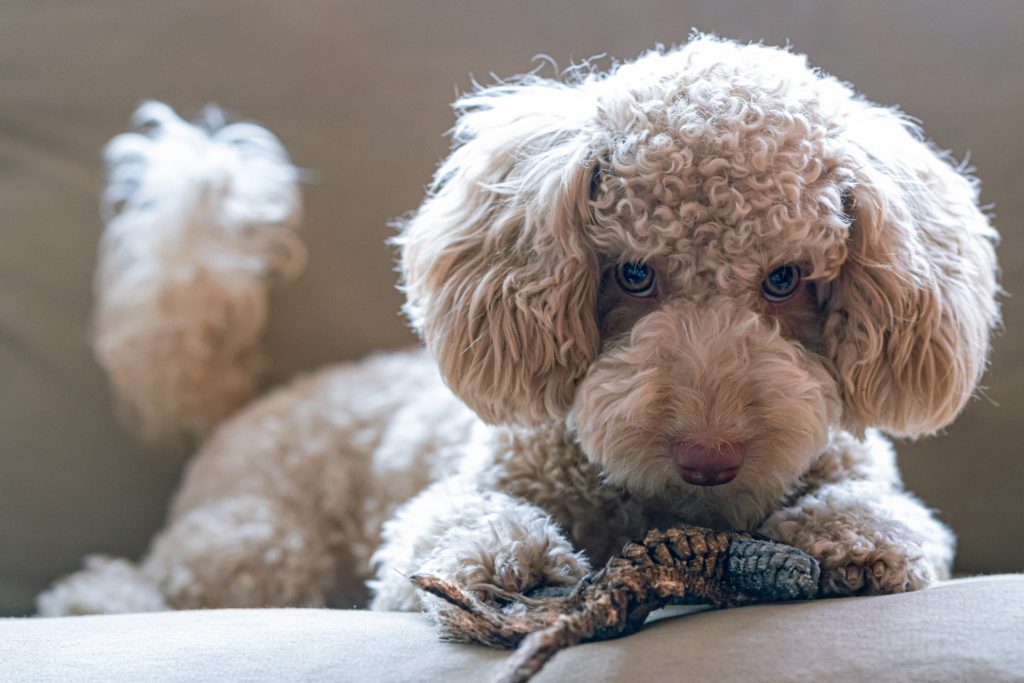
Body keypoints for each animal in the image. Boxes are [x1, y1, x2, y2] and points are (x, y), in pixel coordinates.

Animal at [37, 34, 999, 618]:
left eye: (787, 279)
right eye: (634, 273)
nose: (709, 457)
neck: (658, 507)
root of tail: (247, 400)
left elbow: (890, 518)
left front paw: (853, 535)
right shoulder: (446, 506)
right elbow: (453, 526)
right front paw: (504, 557)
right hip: (256, 541)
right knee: (151, 581)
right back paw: (95, 601)